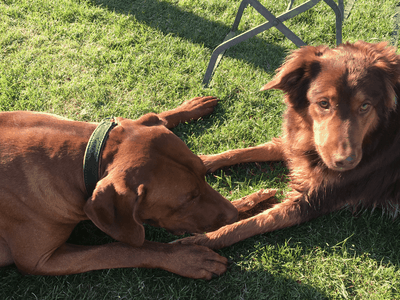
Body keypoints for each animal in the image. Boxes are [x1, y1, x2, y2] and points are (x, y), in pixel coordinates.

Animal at [0, 97, 242, 280]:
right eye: (188, 200)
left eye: (203, 173)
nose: (236, 214)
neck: (86, 155)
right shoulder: (38, 260)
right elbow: (122, 248)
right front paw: (189, 258)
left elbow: (157, 116)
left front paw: (189, 107)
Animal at [178, 41, 400, 250]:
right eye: (324, 103)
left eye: (365, 106)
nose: (346, 162)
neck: (376, 135)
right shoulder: (298, 144)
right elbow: (246, 151)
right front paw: (202, 161)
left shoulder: (314, 199)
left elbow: (250, 223)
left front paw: (195, 243)